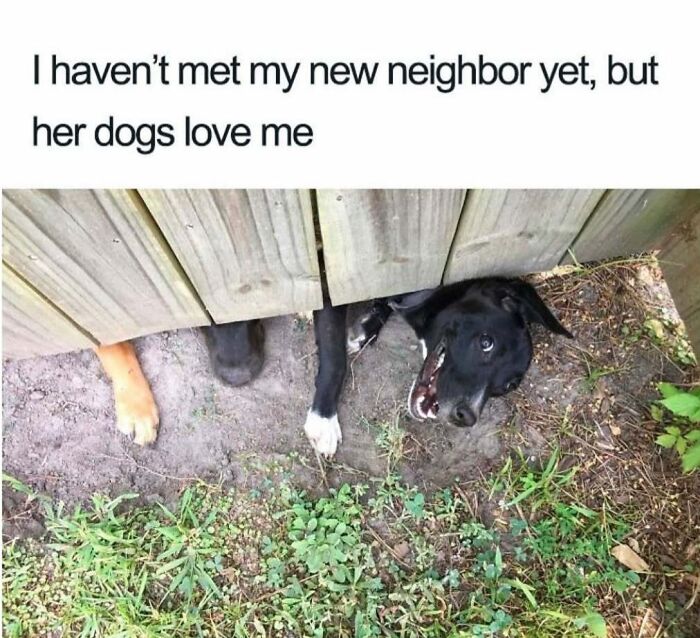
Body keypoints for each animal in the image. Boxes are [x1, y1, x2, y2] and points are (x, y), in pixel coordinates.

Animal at [205, 278, 572, 456]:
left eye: (508, 386)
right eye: (486, 342)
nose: (466, 417)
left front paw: (367, 327)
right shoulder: (331, 287)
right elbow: (336, 360)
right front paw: (323, 419)